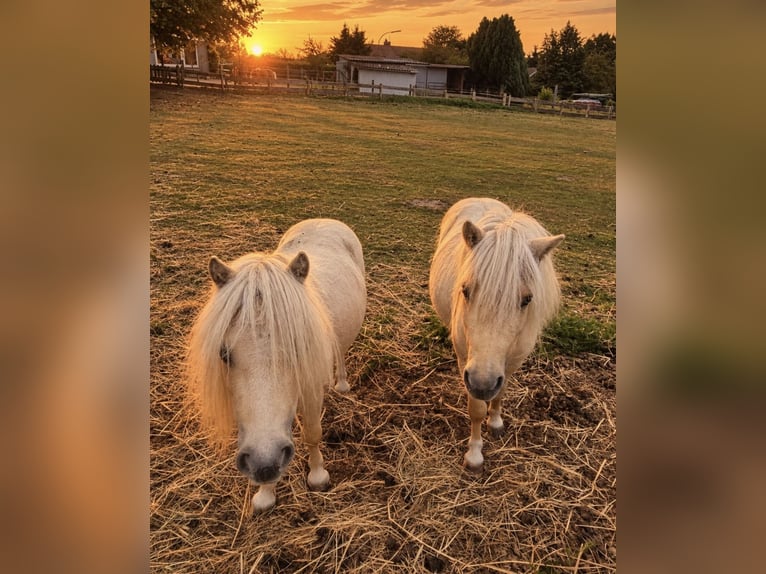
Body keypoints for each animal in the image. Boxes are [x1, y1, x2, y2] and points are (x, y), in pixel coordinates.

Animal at [186, 219, 366, 512]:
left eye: (297, 348)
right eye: (224, 354)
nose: (264, 463)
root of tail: (324, 220)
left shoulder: (311, 389)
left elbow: (312, 433)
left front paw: (318, 476)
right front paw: (266, 493)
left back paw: (341, 383)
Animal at [429, 198, 564, 471]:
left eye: (527, 299)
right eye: (465, 290)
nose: (483, 384)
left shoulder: (512, 362)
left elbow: (500, 393)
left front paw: (496, 422)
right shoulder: (467, 362)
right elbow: (476, 409)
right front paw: (474, 454)